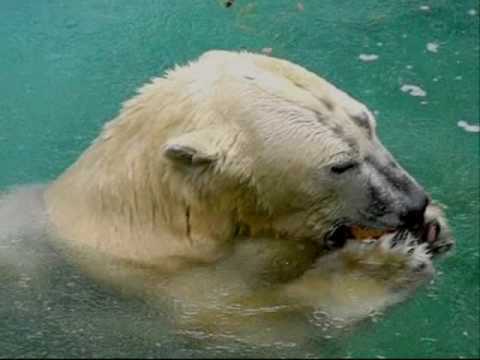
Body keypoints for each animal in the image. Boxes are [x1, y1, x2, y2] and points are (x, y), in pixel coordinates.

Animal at [13, 50, 454, 334]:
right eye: (340, 164)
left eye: (368, 123)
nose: (414, 204)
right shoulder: (162, 287)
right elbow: (252, 323)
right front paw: (384, 266)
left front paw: (434, 227)